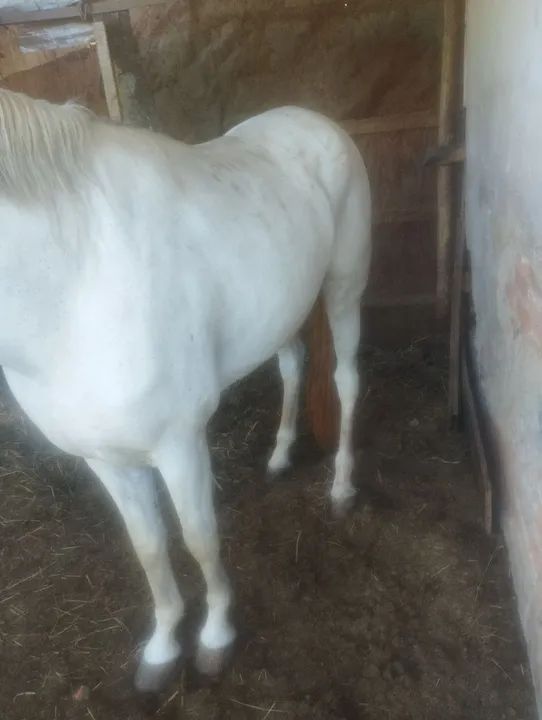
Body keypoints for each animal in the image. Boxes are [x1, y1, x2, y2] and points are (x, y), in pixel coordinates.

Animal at [0, 88, 371, 693]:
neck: (76, 288)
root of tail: (315, 119)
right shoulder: (106, 460)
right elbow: (149, 549)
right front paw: (162, 647)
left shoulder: (179, 445)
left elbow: (200, 540)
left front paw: (216, 636)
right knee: (293, 366)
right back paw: (279, 456)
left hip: (344, 286)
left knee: (346, 381)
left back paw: (341, 490)